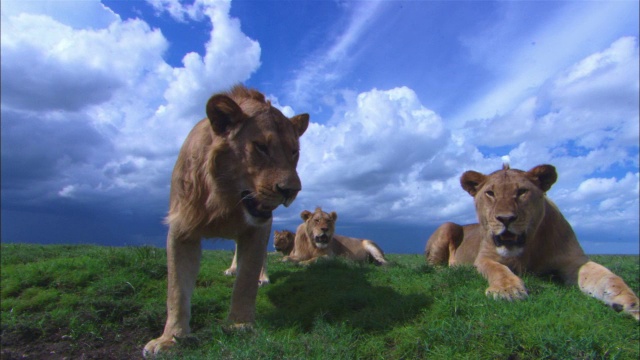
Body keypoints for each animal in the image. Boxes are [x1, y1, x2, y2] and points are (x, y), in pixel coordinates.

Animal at [144, 85, 308, 358]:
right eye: (261, 147)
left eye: (294, 152)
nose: (291, 191)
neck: (226, 199)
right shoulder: (181, 229)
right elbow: (176, 290)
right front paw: (169, 339)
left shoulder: (258, 230)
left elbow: (246, 279)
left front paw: (239, 325)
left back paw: (262, 277)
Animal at [424, 164, 640, 320]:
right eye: (490, 193)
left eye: (521, 191)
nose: (506, 218)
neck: (527, 248)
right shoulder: (484, 258)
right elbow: (499, 270)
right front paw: (508, 291)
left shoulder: (574, 260)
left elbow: (608, 278)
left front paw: (631, 303)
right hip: (447, 225)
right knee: (433, 266)